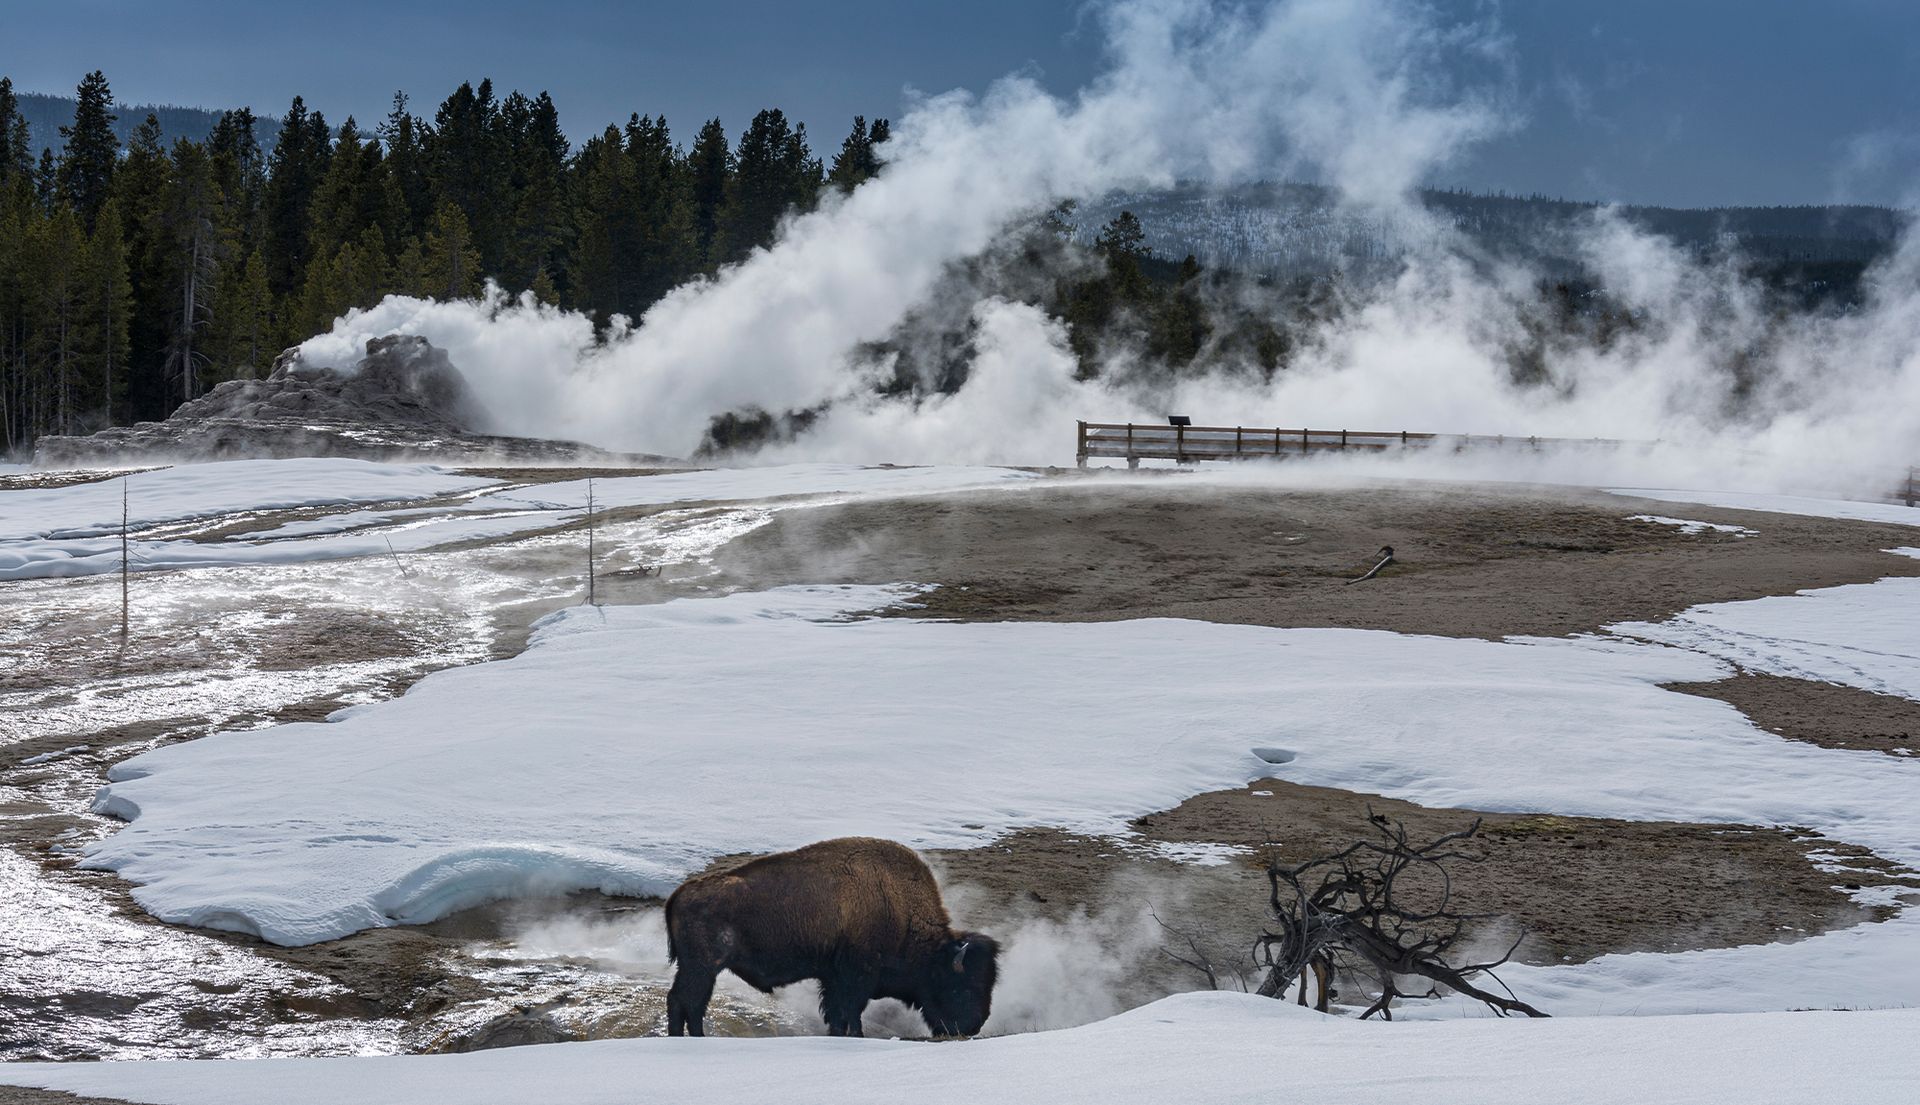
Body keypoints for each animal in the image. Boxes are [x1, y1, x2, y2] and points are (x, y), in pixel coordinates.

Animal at [665, 837, 999, 1038]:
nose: (974, 1025)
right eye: (961, 987)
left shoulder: (832, 978)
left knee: (683, 1002)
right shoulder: (855, 978)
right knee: (688, 1002)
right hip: (702, 968)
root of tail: (680, 893)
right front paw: (857, 1036)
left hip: (695, 968)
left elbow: (836, 1014)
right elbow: (851, 1011)